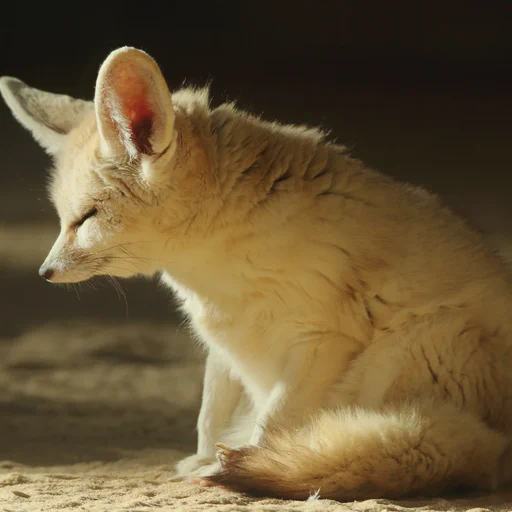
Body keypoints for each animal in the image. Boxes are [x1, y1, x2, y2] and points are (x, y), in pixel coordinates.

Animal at [1, 48, 512, 500]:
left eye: (86, 218)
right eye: (63, 219)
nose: (45, 271)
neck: (216, 262)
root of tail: (499, 446)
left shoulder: (323, 340)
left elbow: (273, 421)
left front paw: (237, 461)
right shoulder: (224, 339)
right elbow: (210, 415)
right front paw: (205, 458)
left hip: (415, 342)